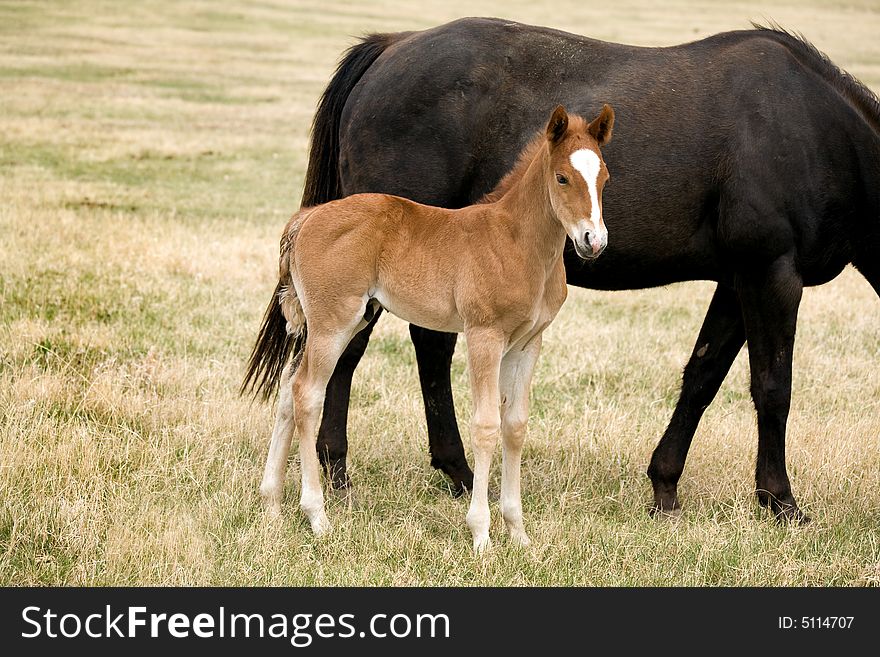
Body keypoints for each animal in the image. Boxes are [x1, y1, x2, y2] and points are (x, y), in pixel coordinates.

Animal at [244, 106, 616, 548]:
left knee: (287, 390)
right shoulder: (484, 334)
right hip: (332, 323)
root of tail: (307, 217)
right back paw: (316, 516)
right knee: (306, 394)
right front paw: (481, 535)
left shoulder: (528, 342)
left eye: (604, 178)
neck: (516, 242)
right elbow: (486, 425)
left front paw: (518, 533)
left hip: (338, 322)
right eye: (562, 178)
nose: (594, 241)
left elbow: (515, 426)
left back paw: (271, 506)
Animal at [272, 16, 876, 524]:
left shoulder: (735, 281)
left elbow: (702, 378)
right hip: (365, 286)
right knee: (347, 357)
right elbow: (773, 386)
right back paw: (339, 476)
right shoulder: (771, 273)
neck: (818, 133)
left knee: (421, 350)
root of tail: (392, 46)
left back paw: (451, 472)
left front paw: (665, 488)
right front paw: (781, 502)